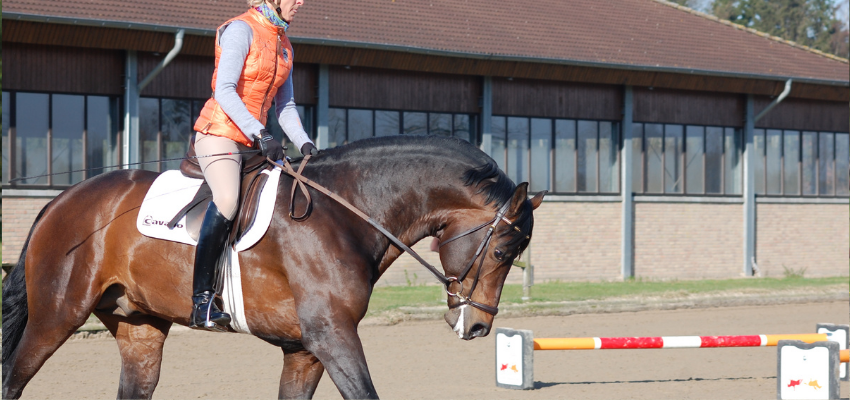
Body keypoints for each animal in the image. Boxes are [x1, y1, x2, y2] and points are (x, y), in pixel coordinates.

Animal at [1, 136, 544, 398]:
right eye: (502, 253)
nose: (478, 327)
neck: (347, 213)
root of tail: (62, 199)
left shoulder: (305, 350)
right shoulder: (332, 336)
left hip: (140, 326)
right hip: (56, 317)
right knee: (14, 378)